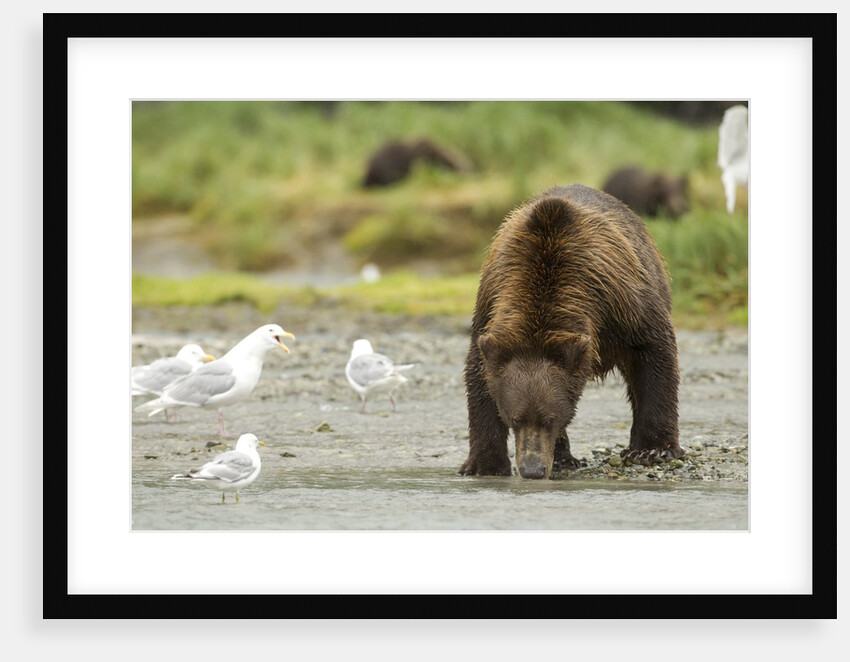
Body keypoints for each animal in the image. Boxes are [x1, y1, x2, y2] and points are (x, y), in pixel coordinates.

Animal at [460, 184, 682, 479]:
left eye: (549, 419)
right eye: (515, 418)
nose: (532, 469)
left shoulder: (621, 302)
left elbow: (654, 352)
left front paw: (653, 450)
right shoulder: (493, 303)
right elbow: (480, 375)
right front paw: (484, 464)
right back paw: (563, 458)